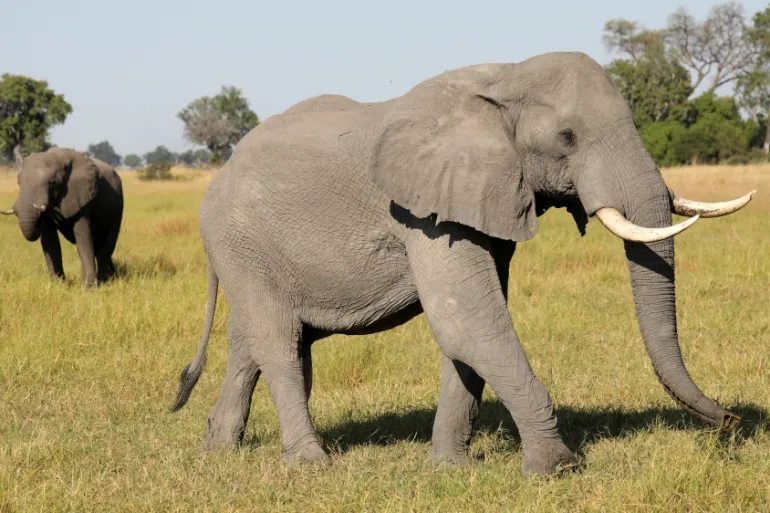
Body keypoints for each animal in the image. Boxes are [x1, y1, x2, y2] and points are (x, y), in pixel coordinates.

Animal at [1, 147, 124, 288]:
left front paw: (87, 288)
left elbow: (83, 238)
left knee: (106, 246)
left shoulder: (81, 194)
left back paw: (105, 281)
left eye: (52, 183)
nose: (38, 219)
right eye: (19, 182)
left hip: (118, 207)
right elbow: (50, 240)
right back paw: (112, 277)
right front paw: (58, 285)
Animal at [171, 51, 756, 477]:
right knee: (279, 342)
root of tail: (218, 175)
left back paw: (217, 451)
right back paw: (312, 466)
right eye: (567, 138)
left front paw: (451, 469)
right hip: (239, 241)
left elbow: (472, 330)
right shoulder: (423, 211)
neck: (505, 78)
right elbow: (467, 320)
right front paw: (555, 470)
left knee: (256, 342)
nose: (732, 421)